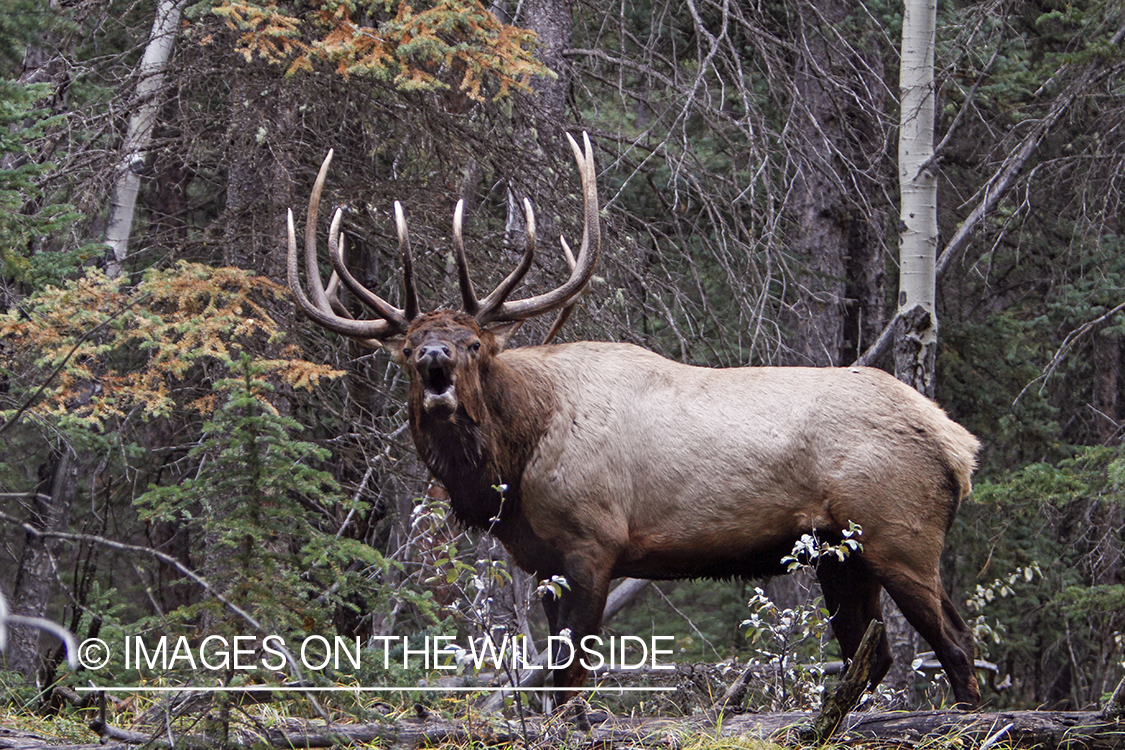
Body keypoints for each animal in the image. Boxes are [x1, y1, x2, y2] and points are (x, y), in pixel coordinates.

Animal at [285, 132, 981, 706]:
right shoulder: (545, 563)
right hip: (841, 554)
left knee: (956, 641)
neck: (518, 461)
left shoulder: (595, 541)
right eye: (406, 349)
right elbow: (555, 676)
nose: (434, 358)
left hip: (899, 531)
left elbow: (570, 680)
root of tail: (959, 445)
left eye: (474, 343)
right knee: (875, 654)